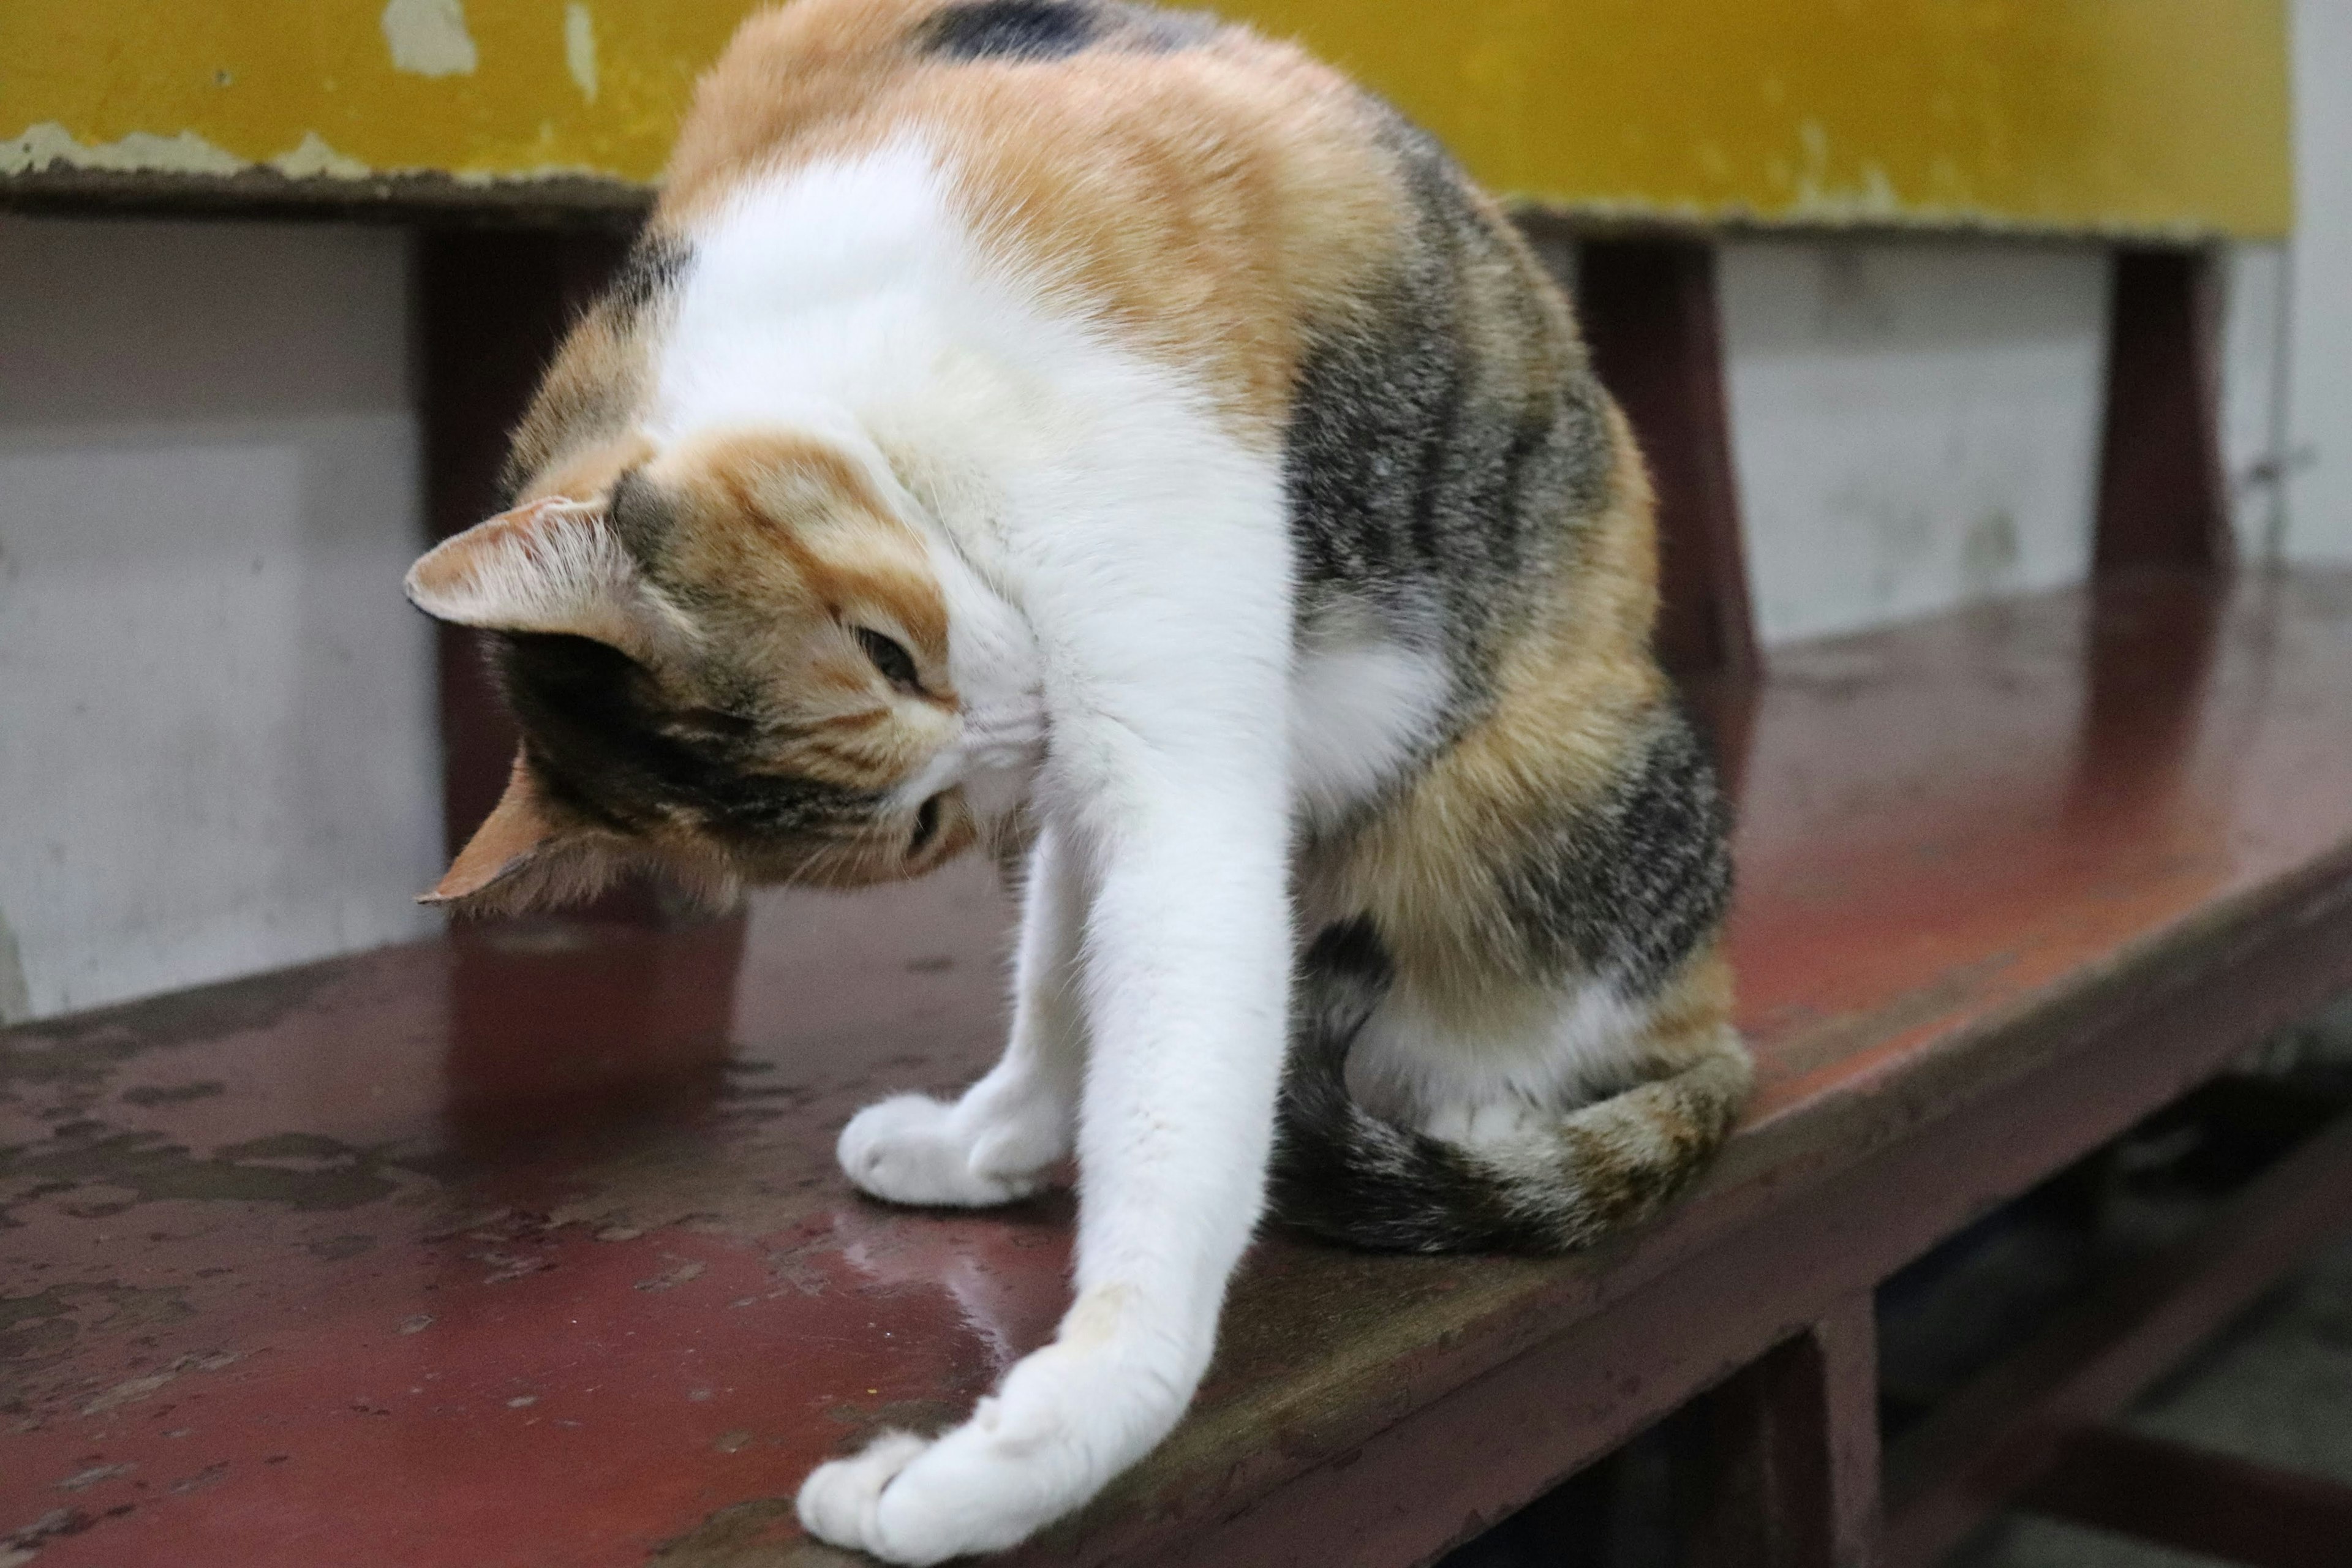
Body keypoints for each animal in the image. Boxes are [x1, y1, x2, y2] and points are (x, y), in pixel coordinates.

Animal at [399, 0, 1749, 1561]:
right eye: (916, 821)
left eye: (887, 649)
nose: (1008, 729)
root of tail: (1712, 997)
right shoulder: (1074, 780)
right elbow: (1062, 983)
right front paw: (989, 1144)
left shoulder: (1167, 747)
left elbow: (1174, 1063)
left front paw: (1042, 1437)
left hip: (1518, 798)